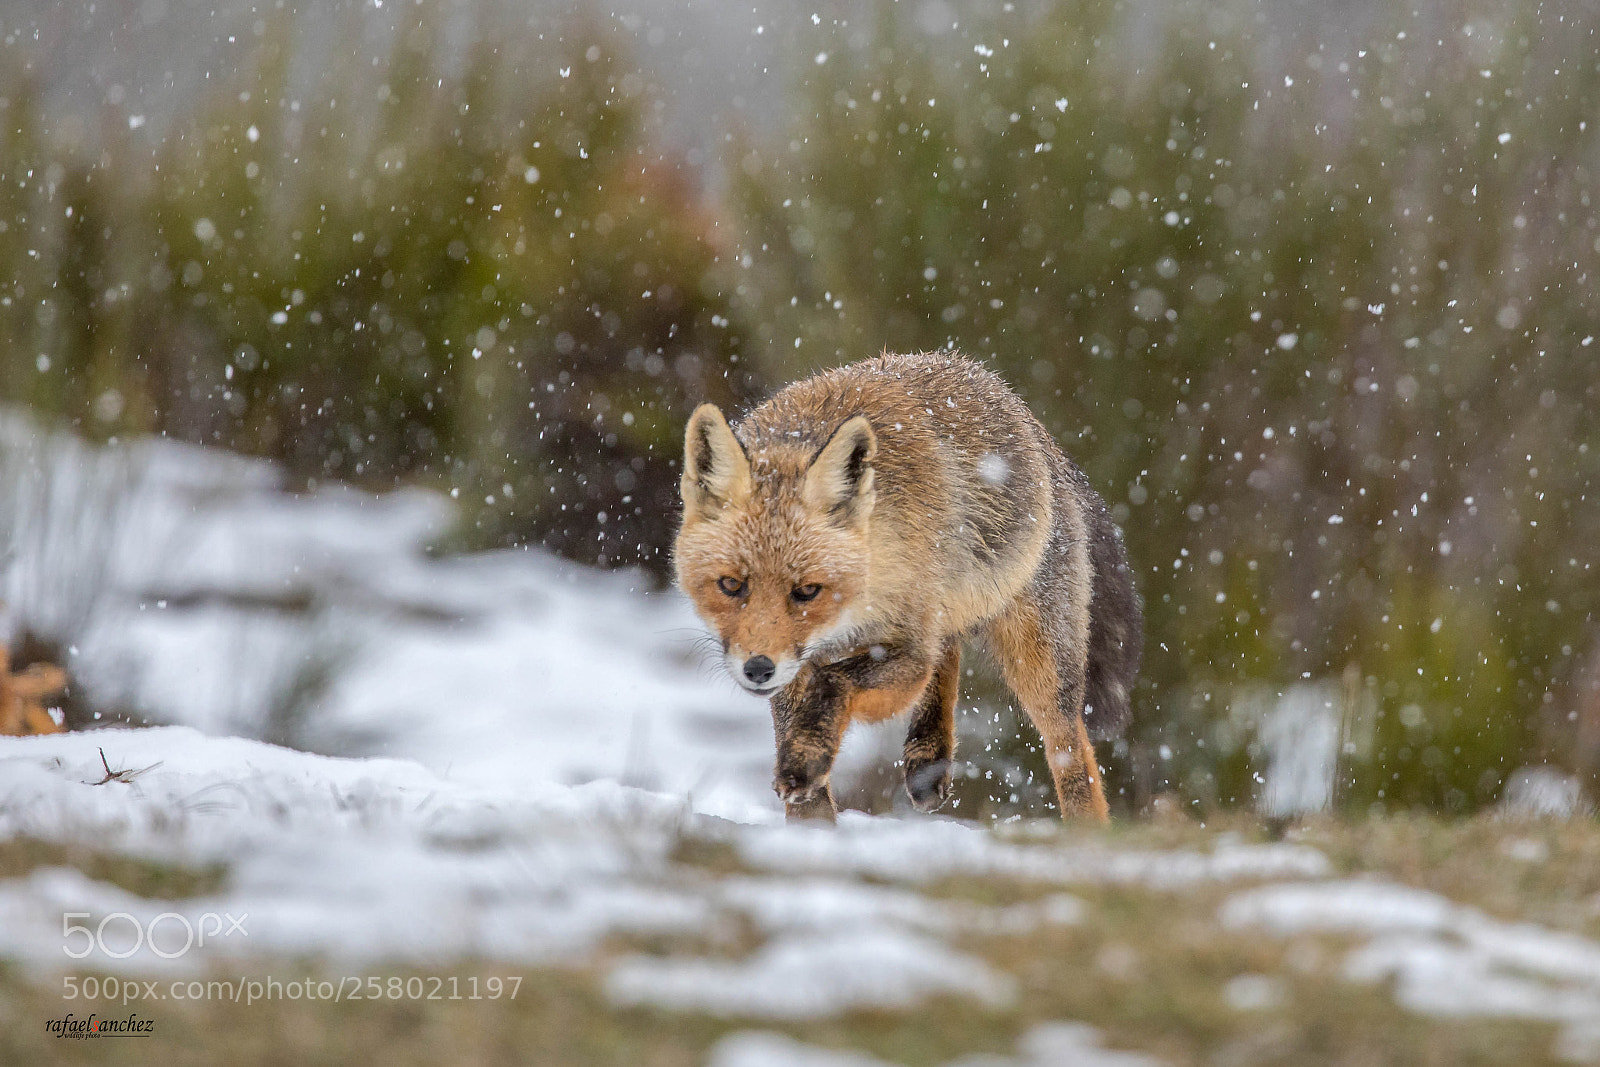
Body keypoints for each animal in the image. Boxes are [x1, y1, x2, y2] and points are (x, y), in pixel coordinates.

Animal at [674, 352, 1142, 822]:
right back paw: (928, 758)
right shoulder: (801, 662)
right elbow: (801, 719)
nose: (758, 669)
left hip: (1038, 657)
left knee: (1069, 745)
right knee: (948, 648)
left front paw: (804, 763)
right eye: (731, 585)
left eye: (807, 591)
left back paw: (1086, 831)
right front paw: (812, 822)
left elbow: (835, 681)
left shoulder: (905, 650)